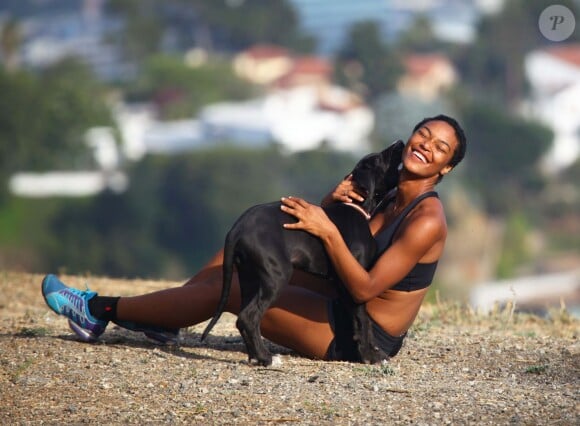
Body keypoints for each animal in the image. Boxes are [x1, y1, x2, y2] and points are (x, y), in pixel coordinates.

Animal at [202, 141, 406, 366]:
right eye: (378, 159)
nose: (399, 142)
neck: (356, 208)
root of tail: (237, 228)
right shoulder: (355, 284)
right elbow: (362, 320)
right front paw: (370, 356)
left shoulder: (346, 285)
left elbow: (360, 320)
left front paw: (368, 352)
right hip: (276, 275)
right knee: (248, 317)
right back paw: (267, 358)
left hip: (249, 277)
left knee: (244, 317)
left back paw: (256, 357)